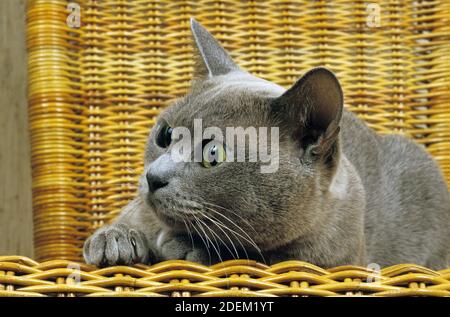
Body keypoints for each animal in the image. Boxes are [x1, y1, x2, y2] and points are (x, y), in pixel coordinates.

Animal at [83, 18, 450, 268]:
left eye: (213, 153)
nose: (153, 176)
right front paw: (115, 240)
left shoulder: (330, 259)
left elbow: (263, 256)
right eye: (164, 135)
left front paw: (188, 247)